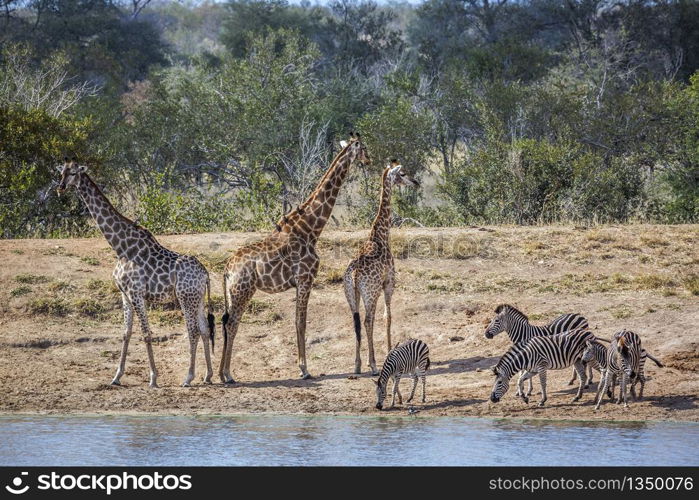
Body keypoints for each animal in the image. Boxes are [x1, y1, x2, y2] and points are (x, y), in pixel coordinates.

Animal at [56, 158, 215, 388]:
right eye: (62, 172)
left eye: (74, 173)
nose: (60, 188)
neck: (121, 248)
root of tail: (205, 274)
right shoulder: (125, 294)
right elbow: (126, 333)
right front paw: (116, 376)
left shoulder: (137, 293)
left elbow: (146, 333)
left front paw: (153, 378)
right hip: (198, 299)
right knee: (204, 330)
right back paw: (208, 375)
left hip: (186, 298)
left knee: (192, 331)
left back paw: (188, 377)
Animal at [219, 133, 372, 382]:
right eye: (363, 148)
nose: (369, 160)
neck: (310, 229)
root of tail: (227, 269)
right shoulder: (305, 279)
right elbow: (301, 322)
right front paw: (304, 369)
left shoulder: (301, 282)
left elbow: (297, 322)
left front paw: (302, 366)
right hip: (244, 290)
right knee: (232, 323)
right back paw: (228, 375)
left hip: (233, 293)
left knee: (225, 322)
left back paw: (220, 374)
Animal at [344, 160, 418, 376]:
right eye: (402, 173)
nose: (415, 182)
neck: (381, 235)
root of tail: (354, 274)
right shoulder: (389, 283)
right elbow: (388, 317)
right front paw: (390, 350)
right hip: (371, 292)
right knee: (368, 320)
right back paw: (374, 364)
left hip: (352, 294)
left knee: (356, 322)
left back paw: (358, 365)